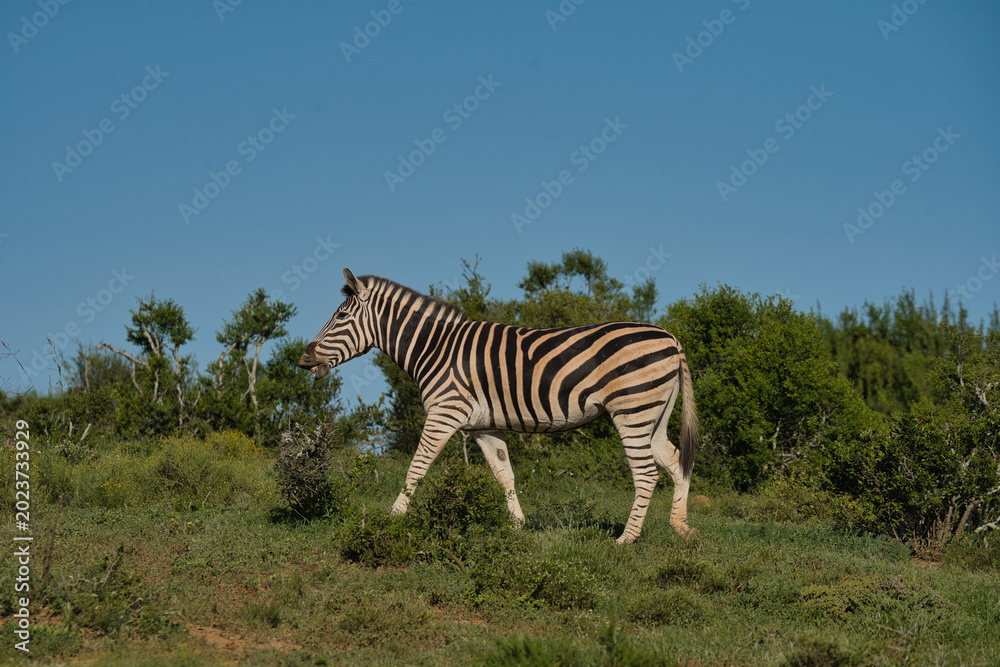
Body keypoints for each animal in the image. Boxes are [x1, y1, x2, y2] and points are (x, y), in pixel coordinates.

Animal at [298, 268, 699, 543]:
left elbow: (417, 467)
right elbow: (505, 474)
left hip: (632, 410)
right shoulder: (483, 425)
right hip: (654, 413)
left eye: (341, 317)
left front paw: (393, 517)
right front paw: (518, 526)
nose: (303, 358)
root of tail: (670, 337)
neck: (436, 348)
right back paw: (681, 527)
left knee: (646, 474)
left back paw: (625, 540)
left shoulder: (444, 413)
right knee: (677, 461)